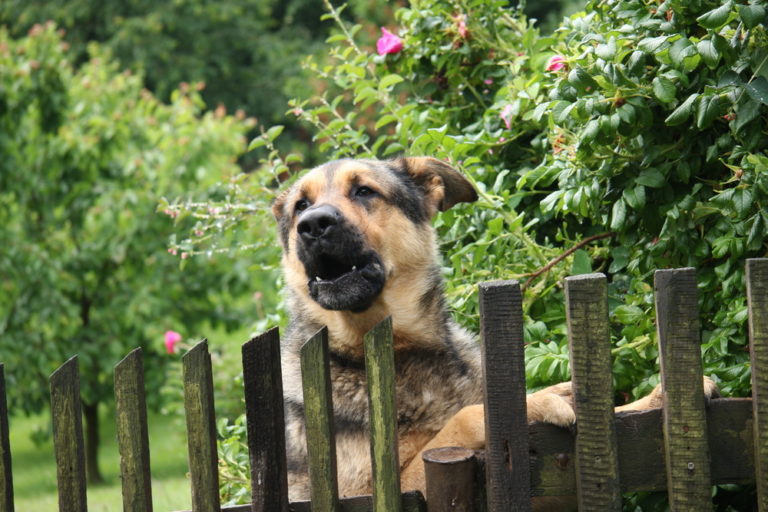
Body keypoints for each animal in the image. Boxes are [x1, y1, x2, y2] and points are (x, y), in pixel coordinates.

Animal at [272, 157, 716, 508]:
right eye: (301, 206)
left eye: (364, 191)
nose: (312, 224)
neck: (406, 351)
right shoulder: (376, 493)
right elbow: (468, 416)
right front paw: (540, 401)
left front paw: (652, 398)